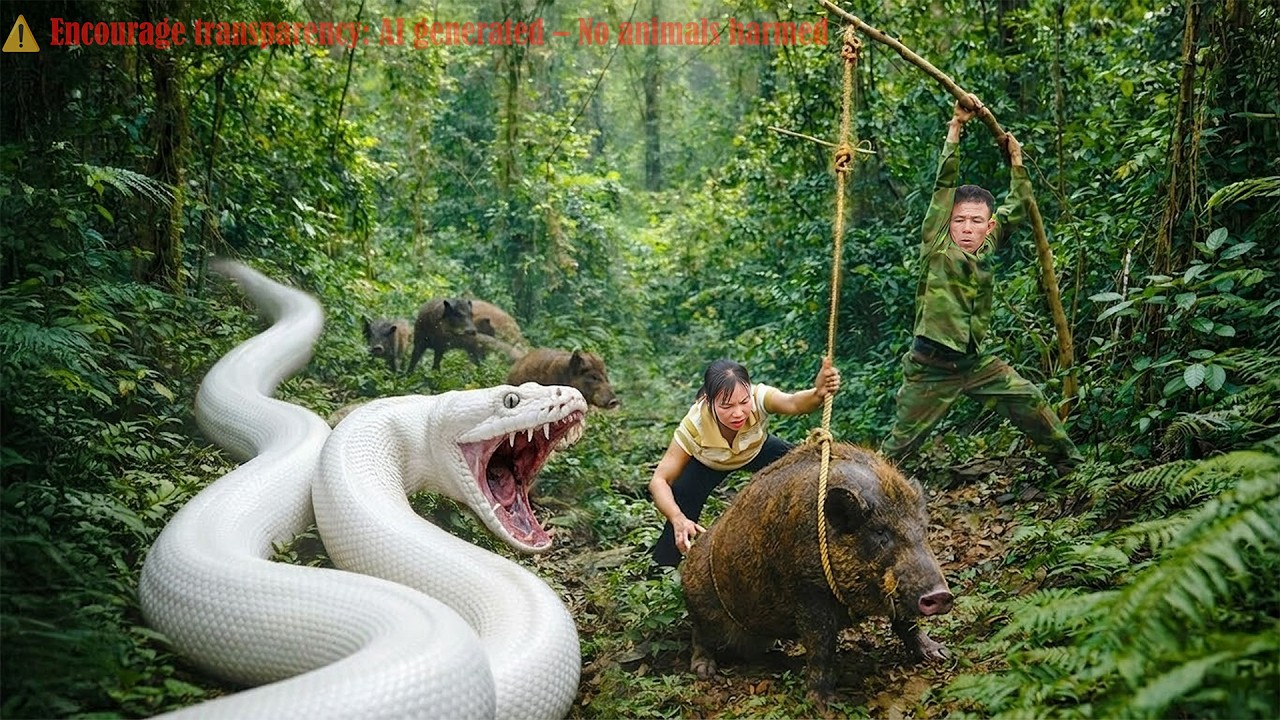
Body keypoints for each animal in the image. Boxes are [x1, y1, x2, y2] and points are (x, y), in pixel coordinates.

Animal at [681, 442, 953, 707]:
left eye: (923, 528)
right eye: (879, 532)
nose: (941, 594)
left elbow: (906, 623)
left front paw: (941, 654)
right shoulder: (809, 592)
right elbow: (821, 645)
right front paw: (825, 705)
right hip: (700, 605)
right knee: (699, 636)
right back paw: (705, 671)